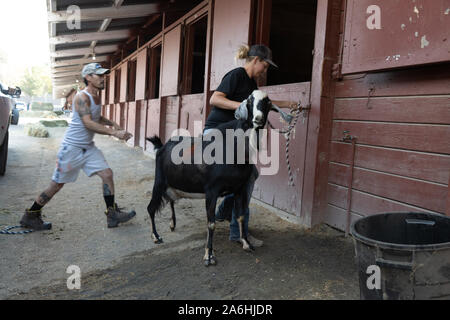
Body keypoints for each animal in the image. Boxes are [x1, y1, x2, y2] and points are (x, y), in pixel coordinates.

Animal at [146, 89, 290, 264]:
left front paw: (246, 243)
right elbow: (211, 223)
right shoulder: (212, 190)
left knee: (171, 200)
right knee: (151, 208)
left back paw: (172, 224)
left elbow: (241, 216)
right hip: (159, 181)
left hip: (174, 183)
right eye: (250, 101)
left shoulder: (240, 188)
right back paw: (156, 236)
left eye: (267, 102)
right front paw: (209, 255)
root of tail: (162, 146)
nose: (258, 119)